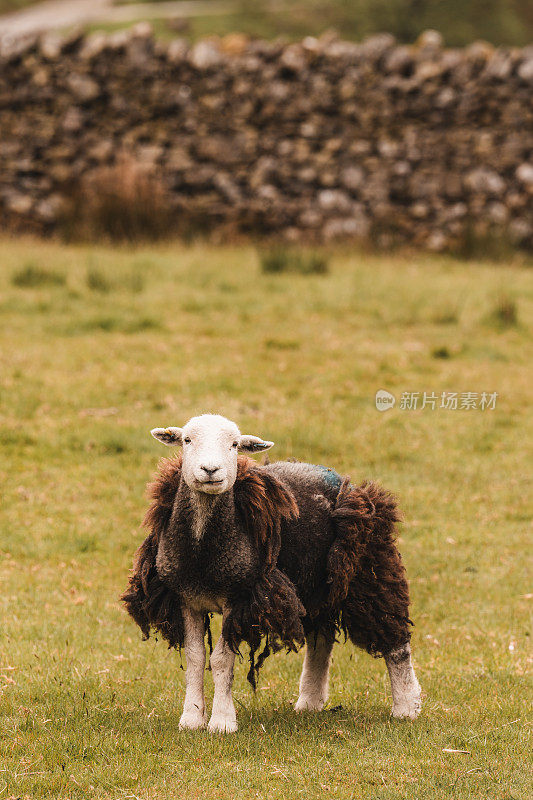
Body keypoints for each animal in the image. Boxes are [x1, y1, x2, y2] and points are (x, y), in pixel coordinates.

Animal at [122, 416, 422, 736]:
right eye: (187, 441)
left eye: (234, 445)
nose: (210, 470)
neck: (203, 554)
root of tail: (335, 476)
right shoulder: (186, 599)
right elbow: (195, 657)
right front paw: (191, 718)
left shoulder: (238, 595)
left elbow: (221, 660)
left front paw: (222, 721)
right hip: (314, 582)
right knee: (321, 638)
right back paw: (310, 702)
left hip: (368, 567)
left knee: (394, 638)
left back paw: (407, 706)